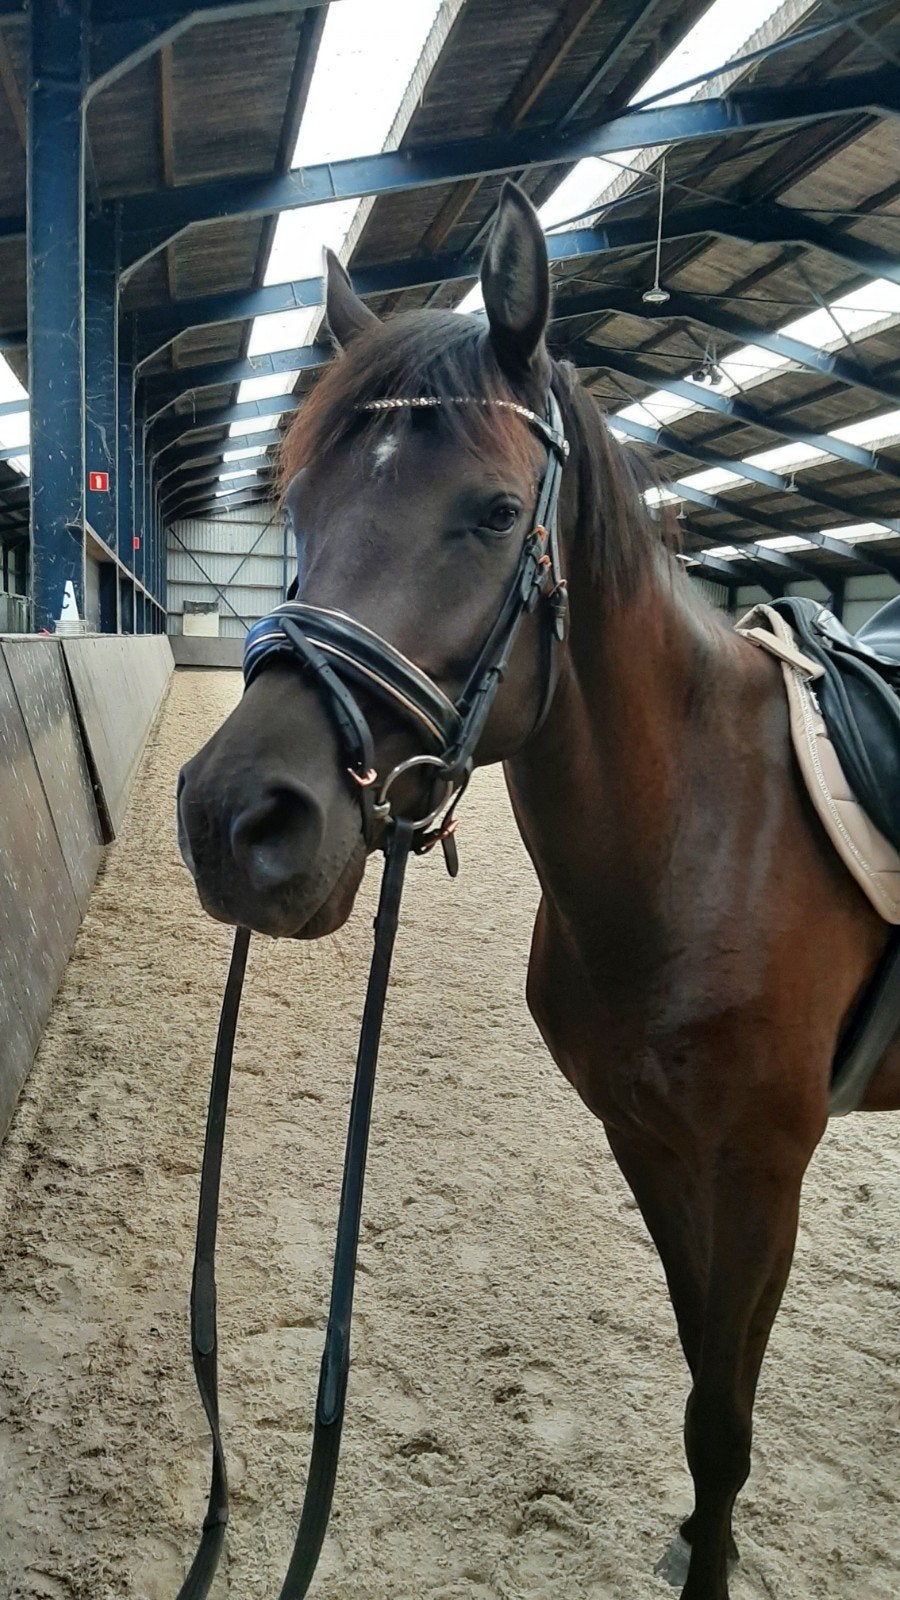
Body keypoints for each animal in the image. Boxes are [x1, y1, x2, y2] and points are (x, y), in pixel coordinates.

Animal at [176, 180, 900, 1600]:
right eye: (299, 508)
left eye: (498, 514)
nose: (235, 820)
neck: (703, 842)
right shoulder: (651, 1141)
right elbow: (703, 1375)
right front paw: (699, 1535)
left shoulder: (764, 1167)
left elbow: (725, 1417)